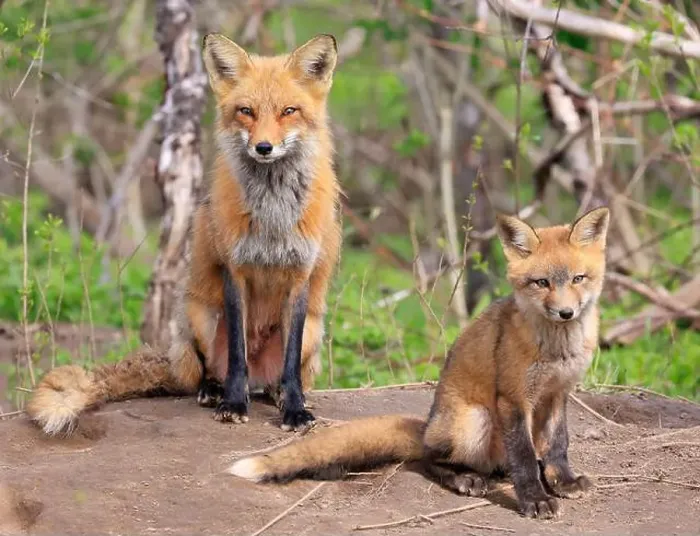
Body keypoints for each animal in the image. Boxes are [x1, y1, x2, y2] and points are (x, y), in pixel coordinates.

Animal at [26, 33, 342, 435]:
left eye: (289, 111)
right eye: (246, 111)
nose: (264, 148)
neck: (272, 214)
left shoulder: (300, 276)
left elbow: (289, 366)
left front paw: (295, 409)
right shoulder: (235, 271)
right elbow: (237, 355)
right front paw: (233, 404)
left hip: (315, 331)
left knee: (279, 374)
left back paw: (278, 394)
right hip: (201, 316)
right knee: (209, 370)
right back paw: (214, 390)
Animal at [227, 207, 610, 520]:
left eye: (578, 279)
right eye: (542, 282)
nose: (566, 312)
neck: (558, 349)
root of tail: (427, 426)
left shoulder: (557, 393)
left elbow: (557, 445)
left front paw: (563, 481)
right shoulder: (514, 399)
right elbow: (525, 459)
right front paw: (535, 499)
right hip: (475, 420)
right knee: (430, 460)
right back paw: (464, 478)